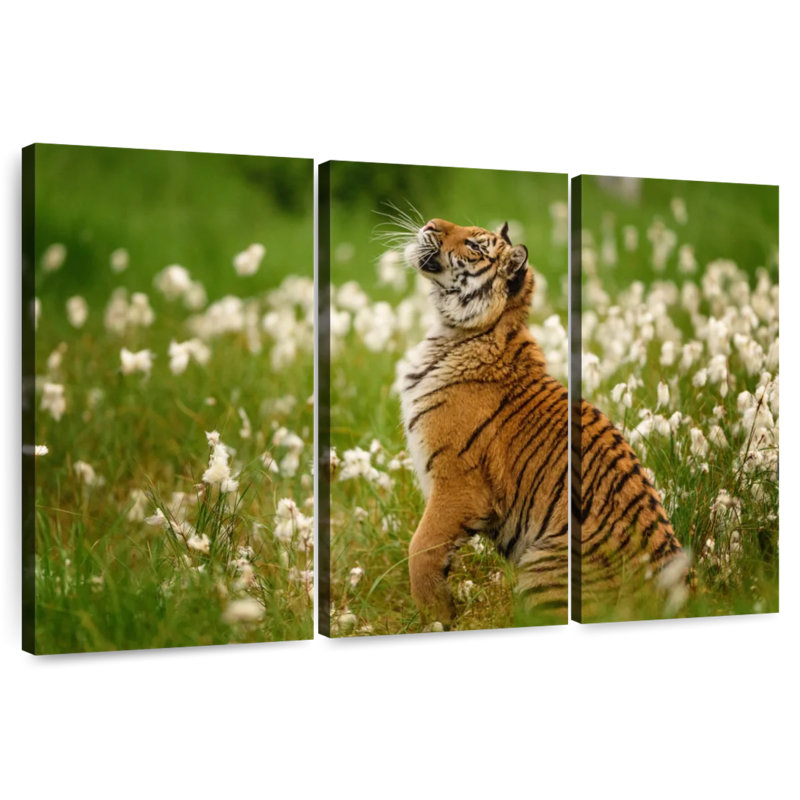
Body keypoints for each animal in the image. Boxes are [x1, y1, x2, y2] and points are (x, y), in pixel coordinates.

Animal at [400, 217, 569, 626]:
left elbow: (421, 548)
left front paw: (436, 616)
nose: (429, 223)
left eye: (475, 246)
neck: (454, 332)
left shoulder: (458, 484)